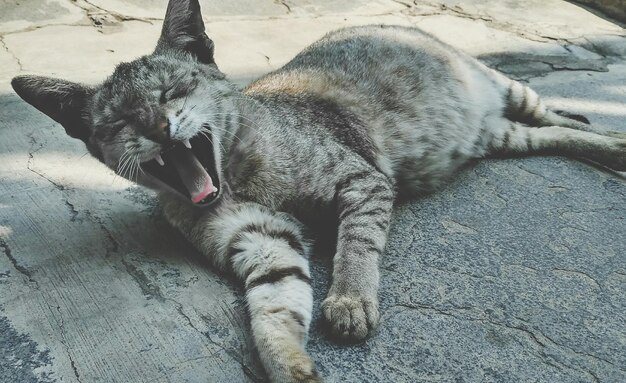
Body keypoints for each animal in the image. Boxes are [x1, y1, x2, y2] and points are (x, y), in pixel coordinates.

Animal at [11, 0, 624, 383]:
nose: (160, 128)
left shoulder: (363, 180)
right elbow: (274, 305)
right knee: (548, 136)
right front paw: (289, 363)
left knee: (550, 113)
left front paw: (350, 297)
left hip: (505, 87)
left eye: (173, 91)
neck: (239, 175)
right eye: (120, 122)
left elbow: (356, 245)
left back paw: (611, 139)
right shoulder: (261, 241)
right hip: (498, 136)